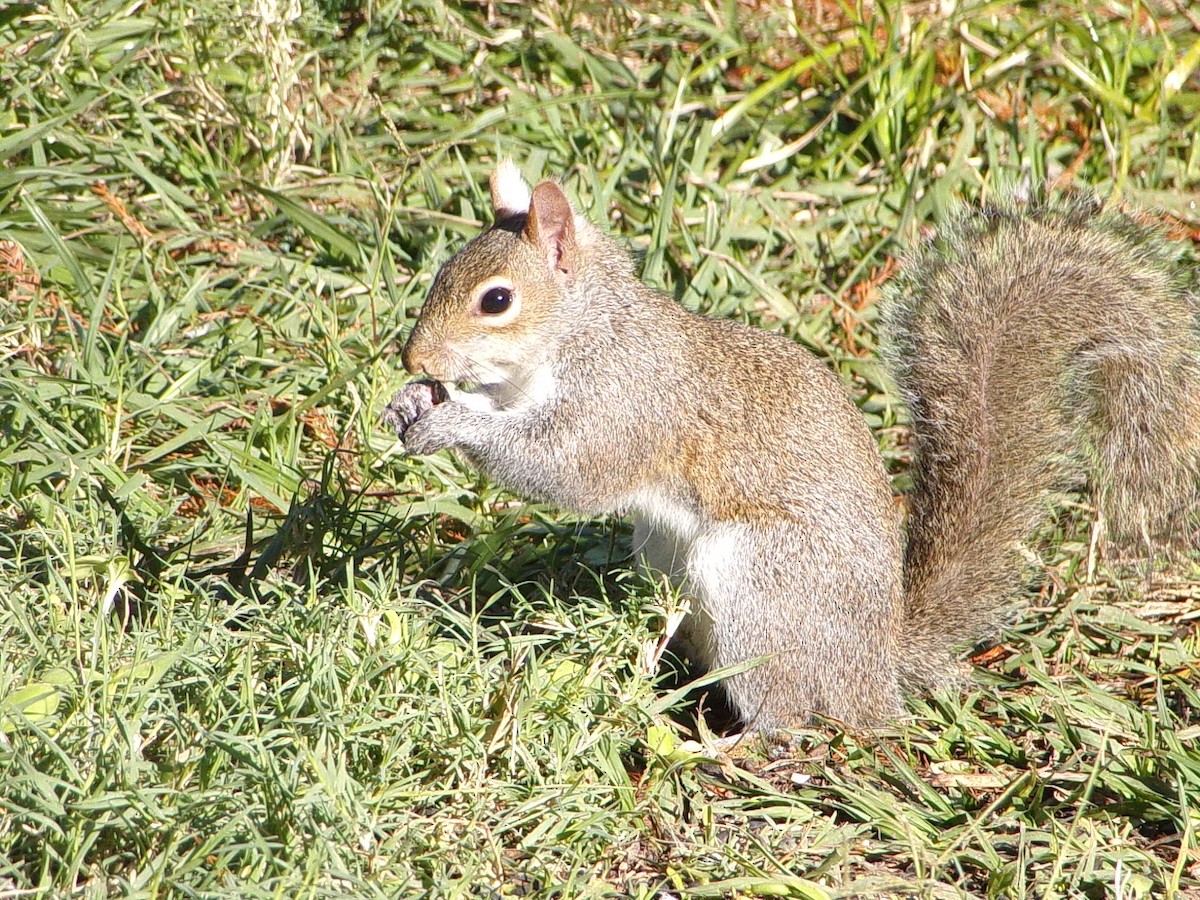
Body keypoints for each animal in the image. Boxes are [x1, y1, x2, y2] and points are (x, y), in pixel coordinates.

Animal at [383, 160, 1200, 730]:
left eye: (496, 300)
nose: (411, 356)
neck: (582, 333)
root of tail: (875, 670)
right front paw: (415, 402)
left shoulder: (625, 404)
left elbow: (565, 473)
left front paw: (451, 424)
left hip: (762, 587)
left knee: (790, 715)